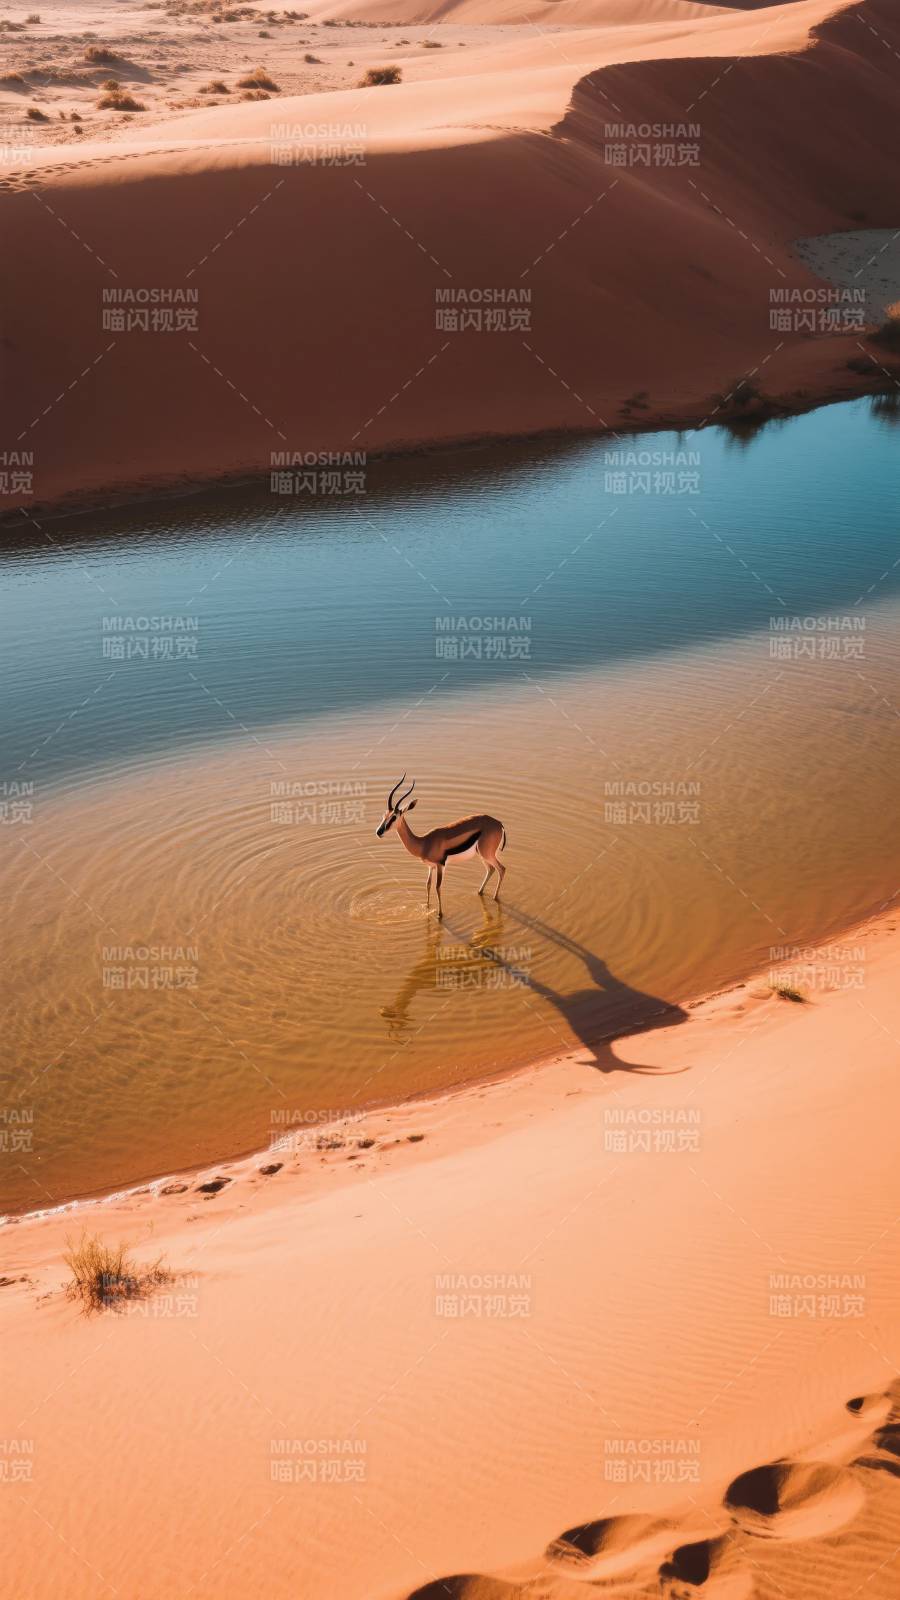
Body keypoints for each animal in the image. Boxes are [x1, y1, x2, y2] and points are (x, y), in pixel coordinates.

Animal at [375, 774, 506, 918]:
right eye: (384, 815)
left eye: (394, 817)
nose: (379, 832)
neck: (424, 843)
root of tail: (498, 823)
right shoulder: (430, 866)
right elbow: (428, 884)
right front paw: (427, 907)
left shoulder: (440, 866)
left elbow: (437, 887)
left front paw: (440, 914)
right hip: (482, 855)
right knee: (491, 869)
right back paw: (479, 892)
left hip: (487, 854)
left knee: (501, 869)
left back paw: (495, 897)